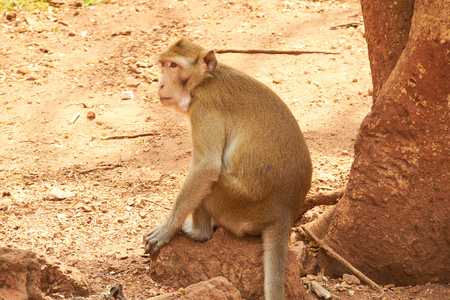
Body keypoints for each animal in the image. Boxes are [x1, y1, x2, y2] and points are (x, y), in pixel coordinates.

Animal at [145, 39, 312, 300]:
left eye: (174, 66)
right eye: (163, 65)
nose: (160, 83)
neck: (205, 81)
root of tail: (283, 211)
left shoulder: (204, 107)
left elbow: (206, 168)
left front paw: (166, 229)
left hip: (238, 204)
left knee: (211, 183)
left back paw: (198, 232)